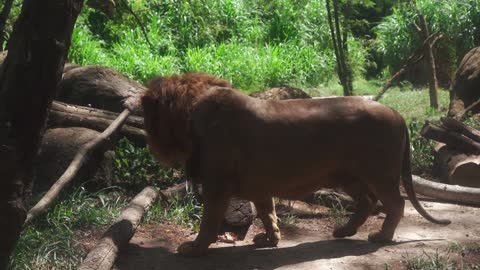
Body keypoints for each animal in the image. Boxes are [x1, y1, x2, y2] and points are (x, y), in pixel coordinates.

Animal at [142, 73, 450, 256]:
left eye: (147, 113)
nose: (146, 136)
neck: (193, 113)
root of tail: (396, 113)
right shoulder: (258, 185)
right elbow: (268, 213)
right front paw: (269, 240)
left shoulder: (217, 184)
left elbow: (209, 220)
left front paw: (194, 247)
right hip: (347, 175)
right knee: (367, 202)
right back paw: (343, 231)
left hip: (379, 173)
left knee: (395, 203)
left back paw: (381, 237)